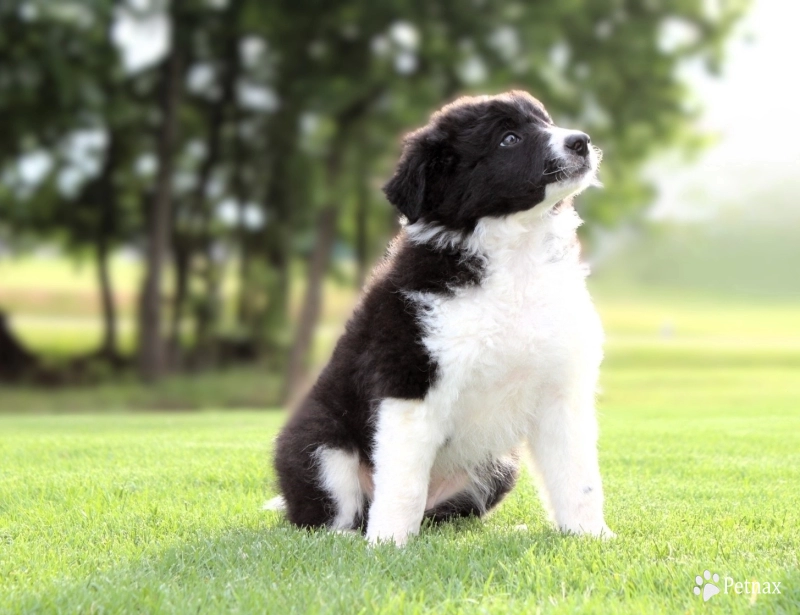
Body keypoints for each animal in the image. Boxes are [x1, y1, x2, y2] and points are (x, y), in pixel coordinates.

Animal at [272, 90, 616, 544]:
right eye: (508, 138)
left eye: (546, 120)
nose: (581, 141)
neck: (515, 255)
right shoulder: (410, 383)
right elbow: (403, 482)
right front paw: (387, 544)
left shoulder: (561, 389)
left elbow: (578, 477)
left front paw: (592, 537)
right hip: (319, 446)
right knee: (332, 514)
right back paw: (351, 538)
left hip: (498, 466)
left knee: (441, 515)